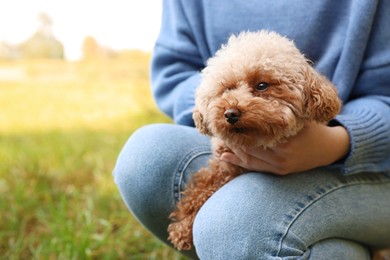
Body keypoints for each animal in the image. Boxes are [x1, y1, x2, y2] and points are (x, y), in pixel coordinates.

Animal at [168, 30, 342, 250]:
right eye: (227, 89)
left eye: (261, 86)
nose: (230, 113)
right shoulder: (223, 164)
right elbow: (201, 187)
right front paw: (183, 221)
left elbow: (207, 191)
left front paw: (184, 226)